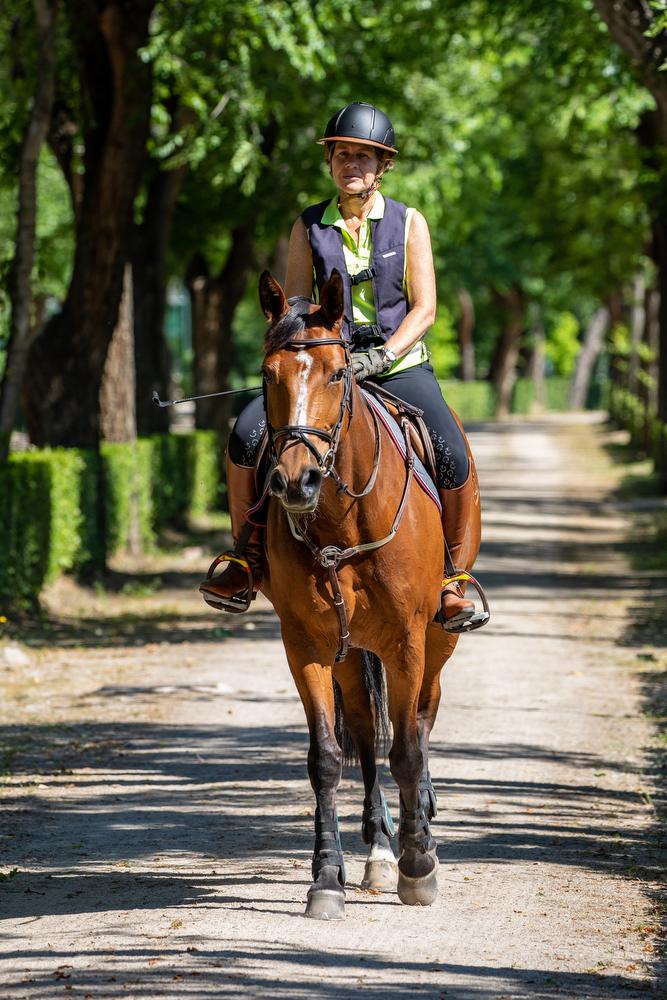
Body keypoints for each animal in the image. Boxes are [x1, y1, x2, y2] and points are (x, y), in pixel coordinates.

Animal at [258, 270, 482, 916]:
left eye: (338, 373)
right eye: (267, 375)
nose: (295, 481)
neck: (343, 519)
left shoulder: (408, 639)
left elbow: (407, 748)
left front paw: (419, 866)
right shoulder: (305, 643)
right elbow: (327, 758)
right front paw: (326, 877)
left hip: (436, 638)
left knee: (422, 721)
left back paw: (416, 830)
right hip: (351, 648)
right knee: (361, 730)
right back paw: (379, 849)